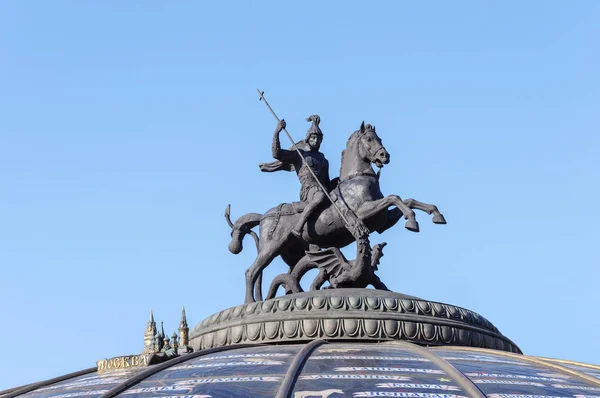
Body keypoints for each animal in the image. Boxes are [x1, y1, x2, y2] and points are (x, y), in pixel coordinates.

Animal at [227, 121, 442, 302]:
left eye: (379, 138)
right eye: (369, 139)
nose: (384, 156)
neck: (358, 179)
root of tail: (264, 216)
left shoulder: (382, 222)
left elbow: (407, 200)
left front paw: (434, 214)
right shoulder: (363, 213)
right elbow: (394, 197)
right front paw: (412, 221)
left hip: (291, 253)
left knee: (291, 274)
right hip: (271, 246)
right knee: (252, 271)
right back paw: (250, 303)